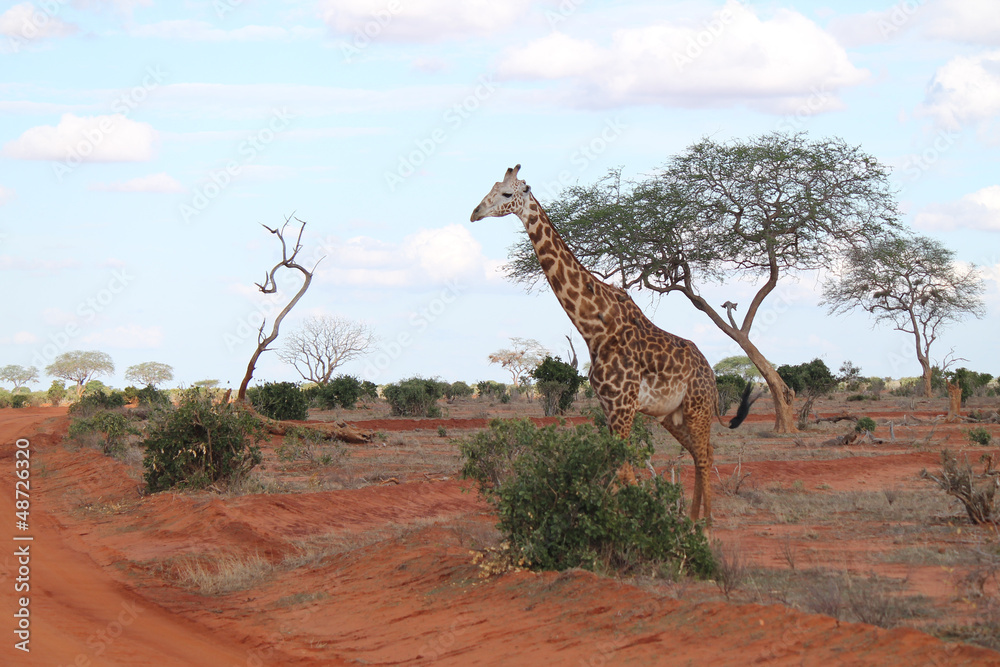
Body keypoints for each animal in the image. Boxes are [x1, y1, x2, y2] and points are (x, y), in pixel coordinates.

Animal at [470, 164, 755, 523]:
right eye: (491, 187)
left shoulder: (622, 405)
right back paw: (693, 521)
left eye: (508, 193)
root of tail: (711, 374)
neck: (595, 328)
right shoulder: (608, 405)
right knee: (703, 452)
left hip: (697, 407)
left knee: (704, 455)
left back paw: (704, 526)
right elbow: (613, 468)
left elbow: (622, 470)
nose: (475, 213)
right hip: (671, 415)